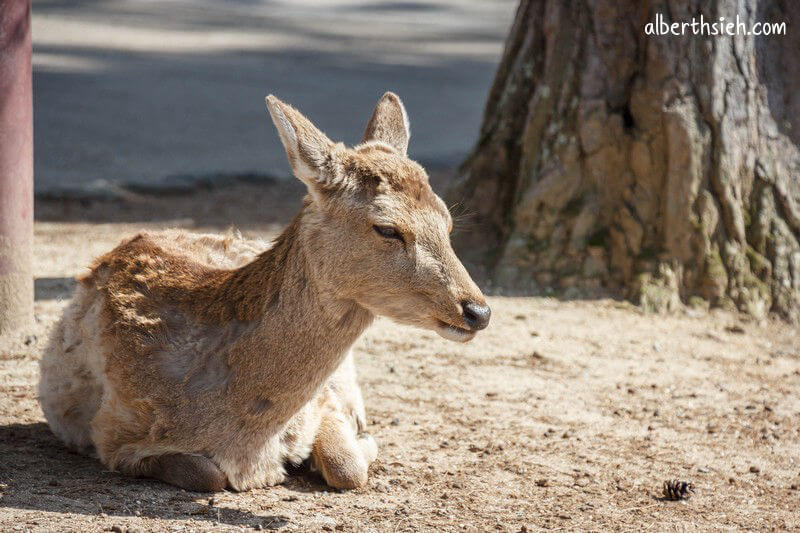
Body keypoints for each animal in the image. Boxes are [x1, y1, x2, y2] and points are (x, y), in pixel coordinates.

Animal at [39, 91, 494, 490]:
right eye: (387, 228)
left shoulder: (324, 402)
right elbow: (206, 474)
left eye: (447, 221)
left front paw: (360, 440)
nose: (478, 311)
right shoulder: (114, 436)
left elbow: (346, 467)